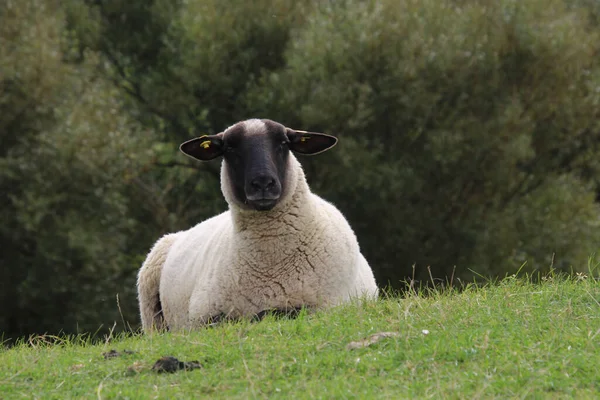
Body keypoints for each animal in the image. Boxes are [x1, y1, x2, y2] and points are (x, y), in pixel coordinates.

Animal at [138, 118, 378, 332]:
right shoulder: (201, 313)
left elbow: (274, 313)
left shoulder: (327, 306)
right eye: (229, 148)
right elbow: (235, 319)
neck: (269, 264)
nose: (263, 183)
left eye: (283, 143)